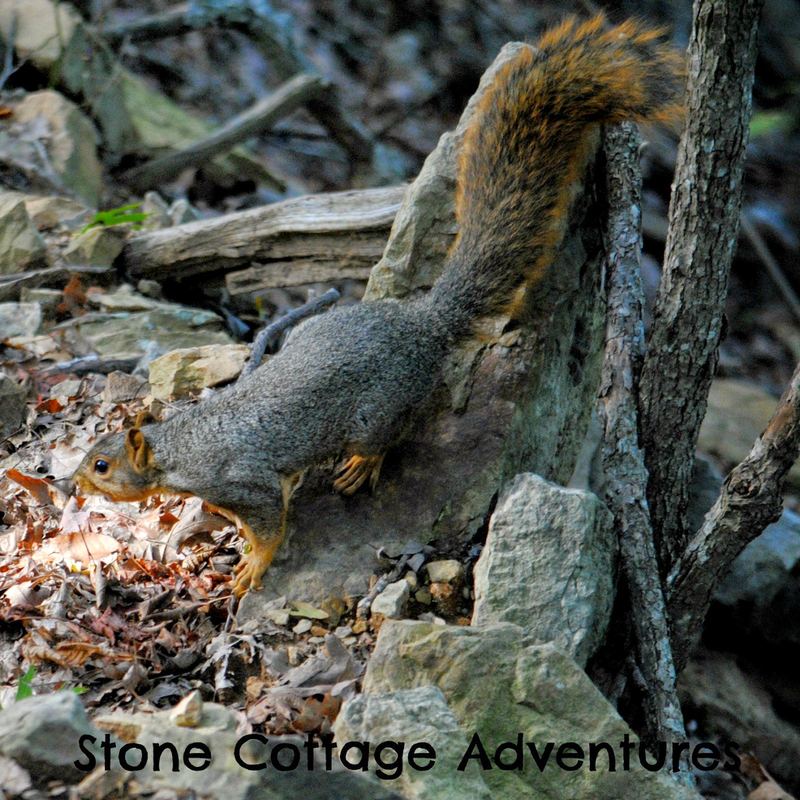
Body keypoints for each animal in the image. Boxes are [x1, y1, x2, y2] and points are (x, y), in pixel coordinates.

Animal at [73, 15, 683, 597]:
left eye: (102, 464)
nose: (71, 483)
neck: (181, 445)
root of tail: (424, 324)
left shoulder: (243, 481)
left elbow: (269, 523)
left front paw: (252, 566)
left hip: (379, 410)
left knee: (395, 434)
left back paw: (363, 465)